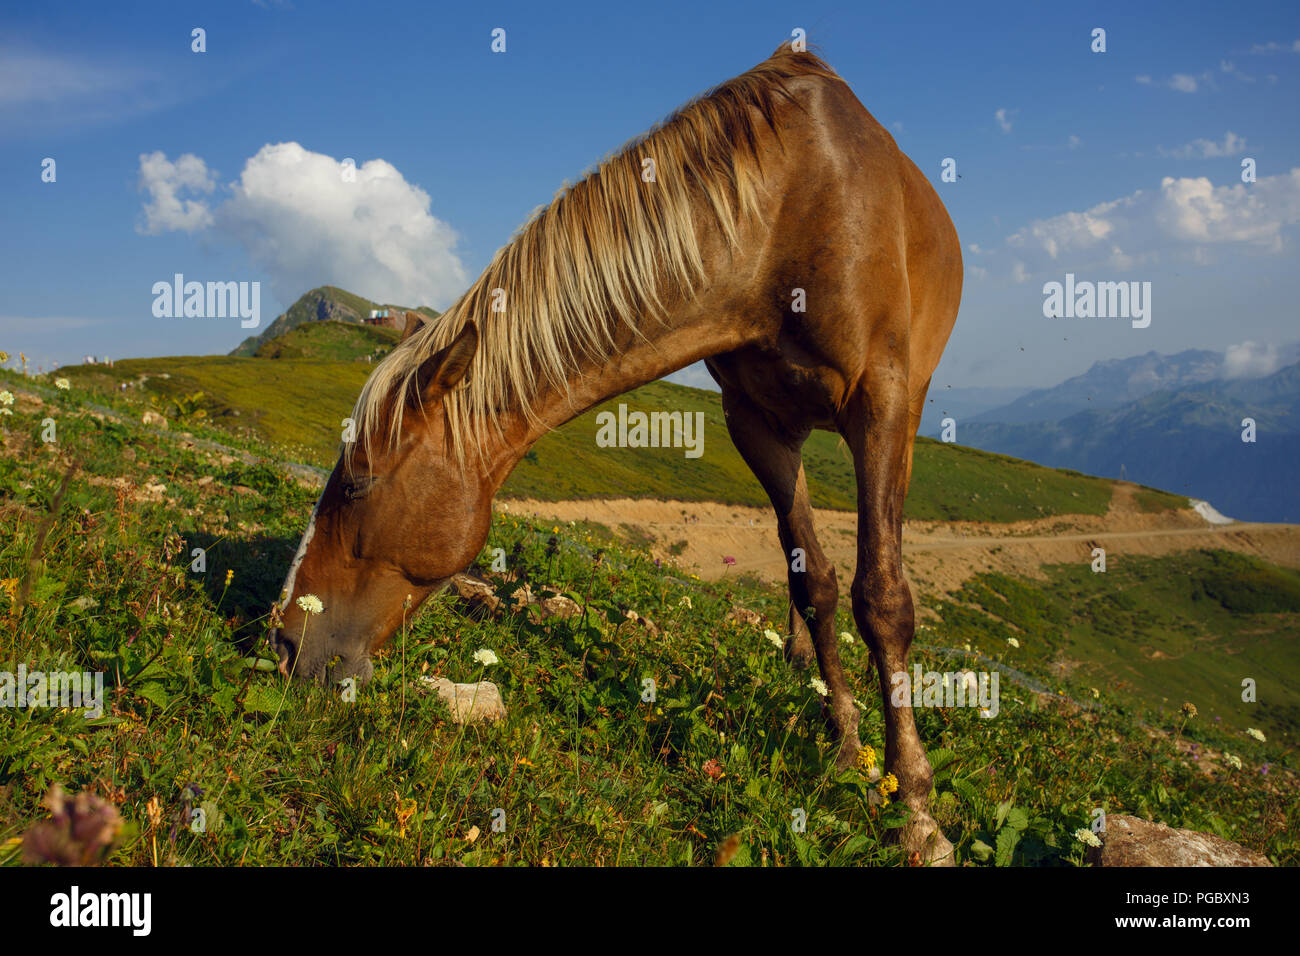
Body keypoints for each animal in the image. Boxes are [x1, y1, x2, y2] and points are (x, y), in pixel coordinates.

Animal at [274, 44, 961, 868]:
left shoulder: (882, 402)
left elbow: (882, 599)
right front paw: (846, 741)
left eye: (357, 482)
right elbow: (817, 584)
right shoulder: (754, 425)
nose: (284, 641)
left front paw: (914, 806)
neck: (785, 215)